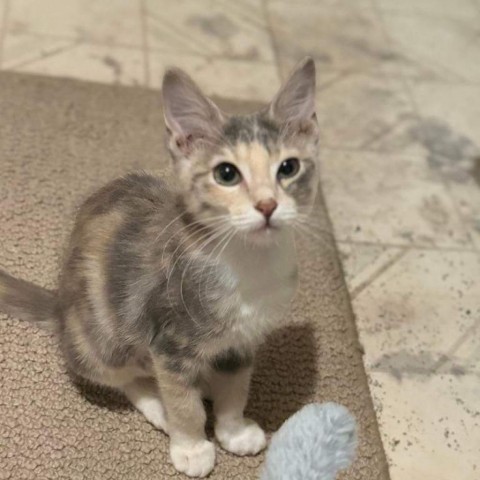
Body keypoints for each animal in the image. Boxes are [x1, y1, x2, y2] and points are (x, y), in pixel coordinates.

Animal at [1, 57, 320, 476]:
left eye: (288, 167)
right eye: (227, 174)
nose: (267, 205)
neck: (246, 263)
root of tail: (59, 307)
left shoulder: (242, 341)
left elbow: (236, 388)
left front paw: (233, 430)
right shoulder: (169, 340)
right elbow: (183, 405)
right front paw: (192, 446)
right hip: (104, 341)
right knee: (125, 376)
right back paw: (158, 404)